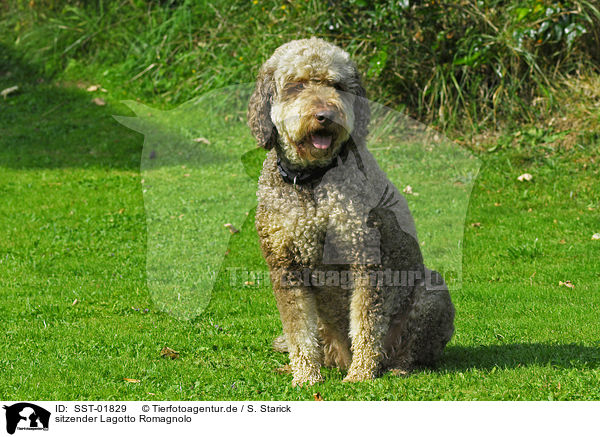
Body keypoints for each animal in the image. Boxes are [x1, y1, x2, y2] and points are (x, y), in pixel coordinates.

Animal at [246, 37, 452, 384]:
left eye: (337, 85)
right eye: (296, 85)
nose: (324, 115)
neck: (313, 182)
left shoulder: (365, 259)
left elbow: (366, 324)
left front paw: (361, 375)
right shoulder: (285, 266)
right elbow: (299, 332)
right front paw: (305, 378)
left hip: (431, 293)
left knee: (409, 348)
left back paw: (393, 366)